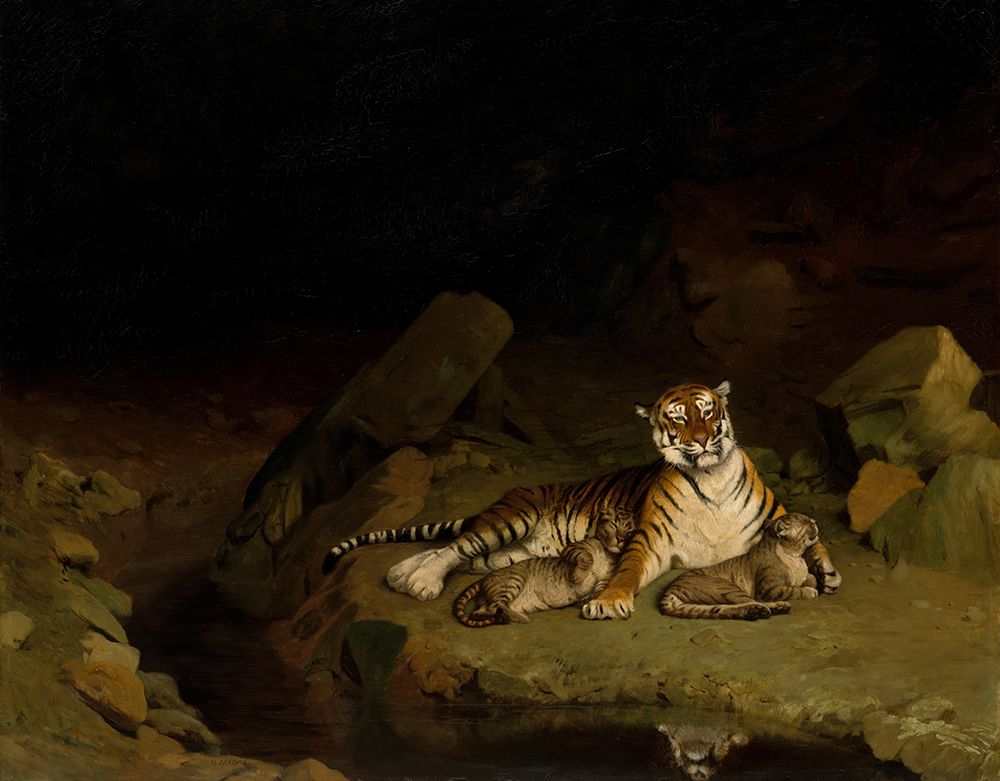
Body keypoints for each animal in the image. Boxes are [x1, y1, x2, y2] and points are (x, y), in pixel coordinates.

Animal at [659, 512, 821, 620]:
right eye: (807, 523)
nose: (815, 521)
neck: (794, 555)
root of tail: (669, 589)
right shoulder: (768, 589)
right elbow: (793, 589)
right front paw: (810, 591)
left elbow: (810, 577)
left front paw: (812, 582)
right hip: (727, 588)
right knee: (753, 601)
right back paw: (775, 607)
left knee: (721, 609)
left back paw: (755, 611)